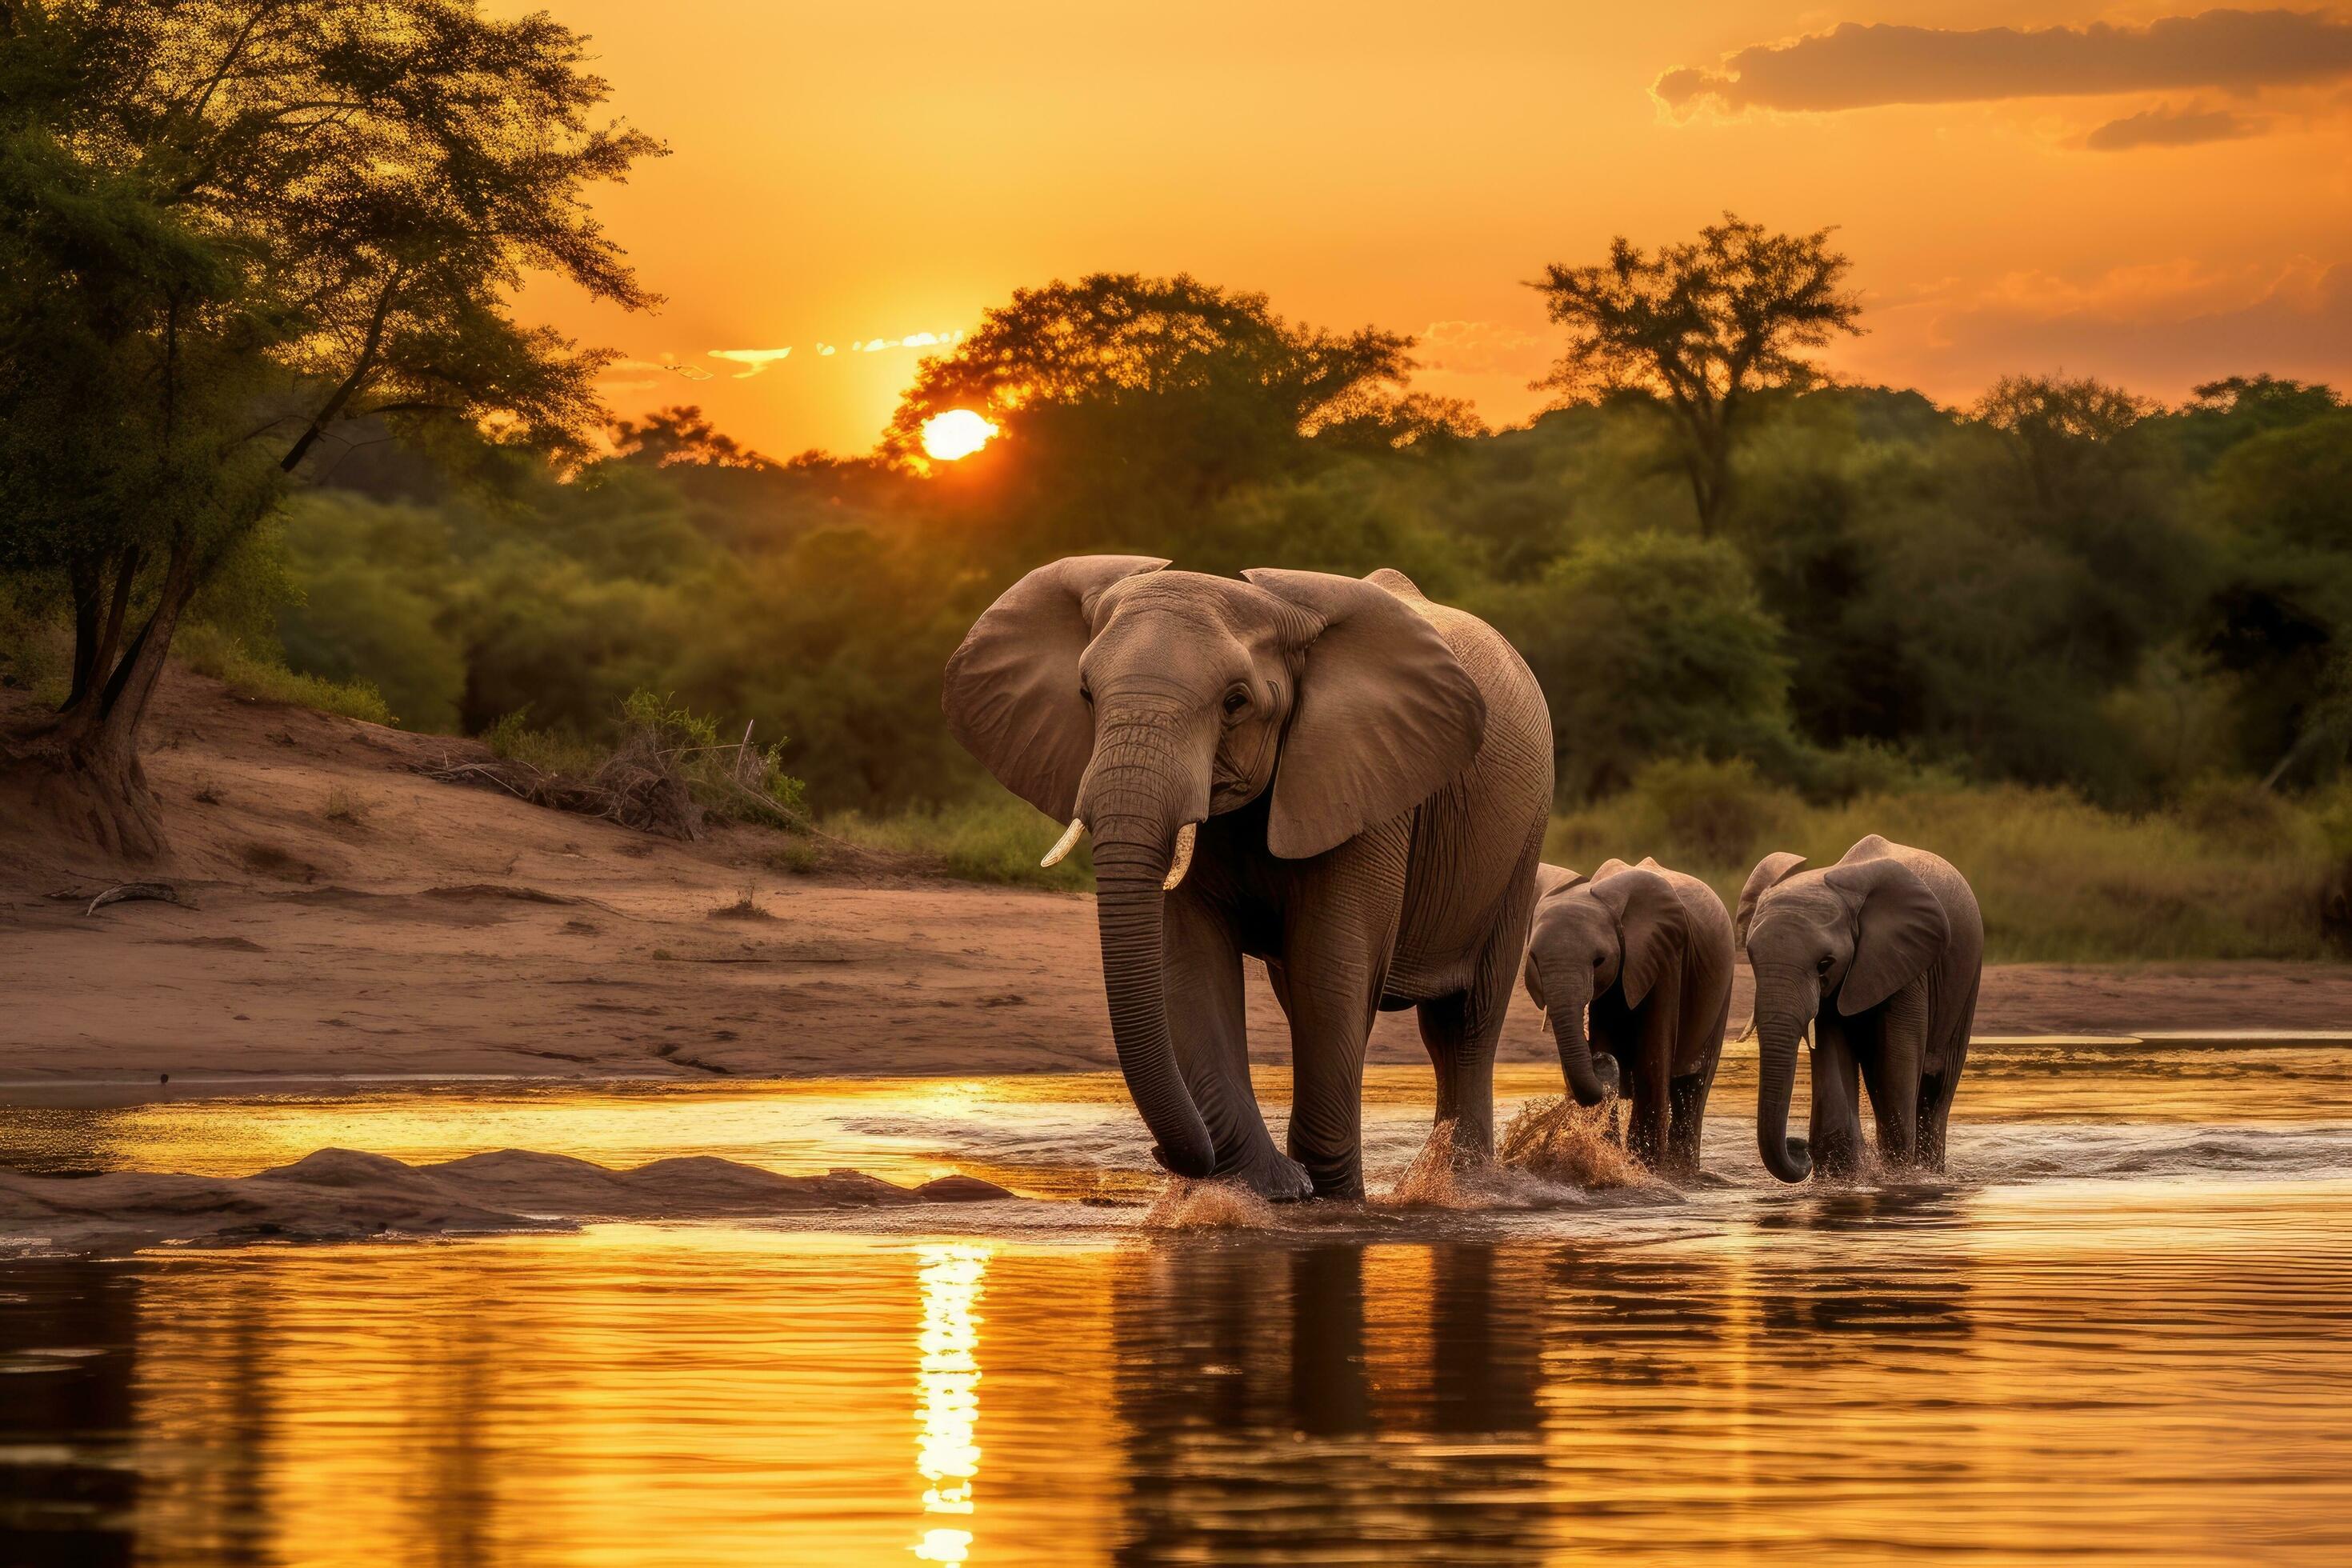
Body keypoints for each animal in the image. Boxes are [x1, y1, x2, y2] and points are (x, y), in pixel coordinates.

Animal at [943, 557, 1554, 1199]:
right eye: (1085, 694)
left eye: (1235, 703)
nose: (1164, 1155)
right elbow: (1189, 964)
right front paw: (1271, 1190)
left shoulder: (1367, 786)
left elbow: (1332, 967)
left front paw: (1329, 1198)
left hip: (1525, 836)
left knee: (1463, 1024)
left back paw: (1463, 1183)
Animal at [1520, 857, 1733, 1176]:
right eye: (1532, 959)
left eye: (1599, 961)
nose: (1600, 1061)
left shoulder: (1665, 956)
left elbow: (1651, 1063)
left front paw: (1645, 1168)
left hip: (1722, 991)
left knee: (1694, 1090)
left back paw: (1683, 1172)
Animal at [1736, 834, 1984, 1184]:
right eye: (1751, 957)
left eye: (1824, 964)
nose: (1797, 1146)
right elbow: (1833, 1052)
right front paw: (1842, 1180)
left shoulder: (1908, 965)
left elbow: (1896, 1064)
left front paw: (1898, 1179)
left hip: (1967, 979)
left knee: (1936, 1089)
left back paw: (1932, 1172)